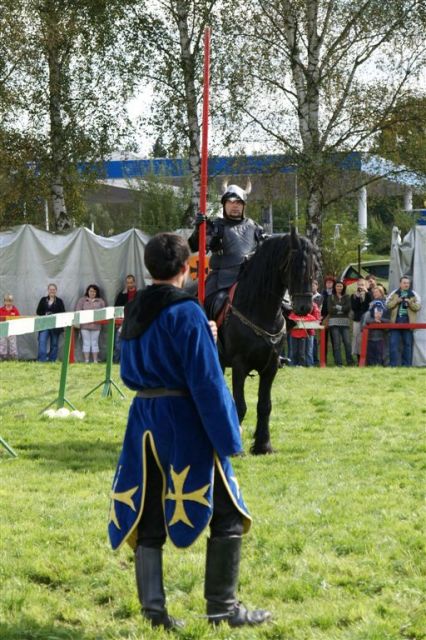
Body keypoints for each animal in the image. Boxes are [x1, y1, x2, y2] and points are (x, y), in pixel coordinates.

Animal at [218, 230, 318, 456]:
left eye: (315, 267)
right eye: (295, 266)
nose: (304, 307)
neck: (259, 308)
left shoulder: (271, 366)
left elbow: (265, 405)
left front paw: (263, 445)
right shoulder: (239, 365)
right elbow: (240, 405)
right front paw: (236, 448)